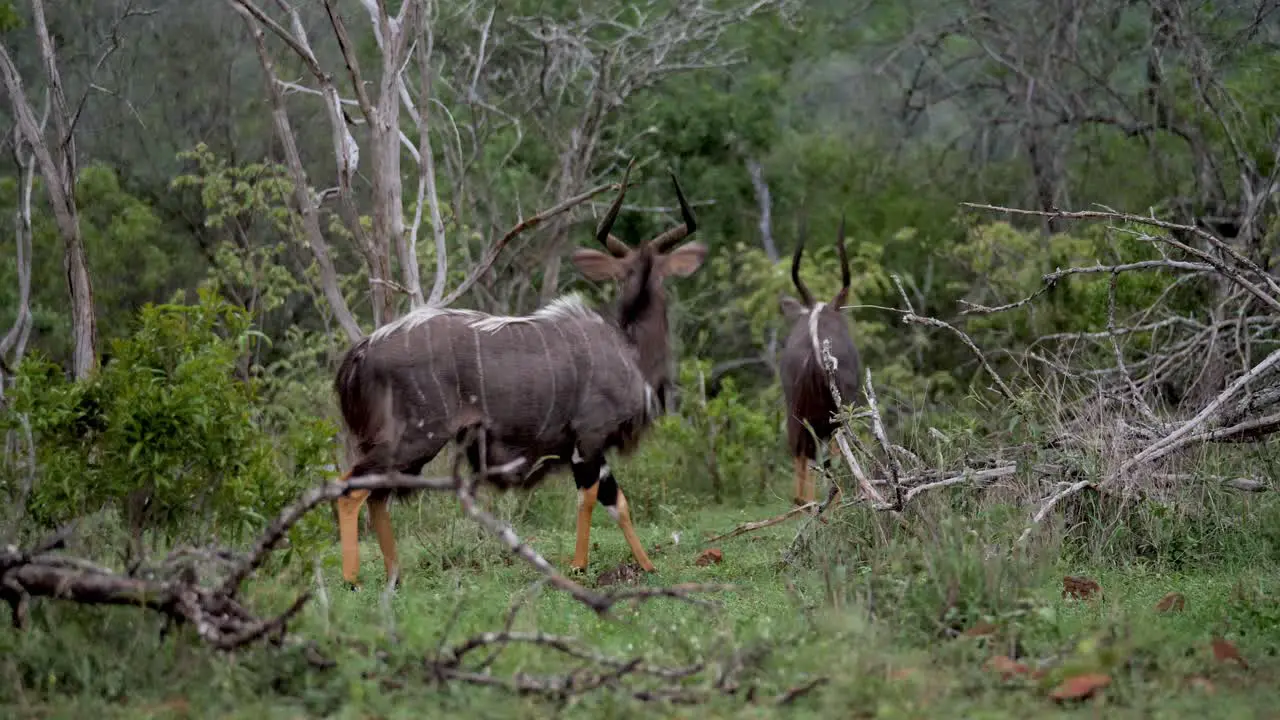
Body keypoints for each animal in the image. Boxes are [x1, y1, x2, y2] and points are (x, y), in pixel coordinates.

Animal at [330, 165, 711, 586]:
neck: (628, 348)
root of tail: (363, 349)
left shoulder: (589, 447)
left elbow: (617, 501)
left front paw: (646, 566)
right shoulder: (590, 438)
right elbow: (590, 498)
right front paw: (578, 566)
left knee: (377, 494)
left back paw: (395, 577)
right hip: (415, 439)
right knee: (350, 490)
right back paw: (351, 581)